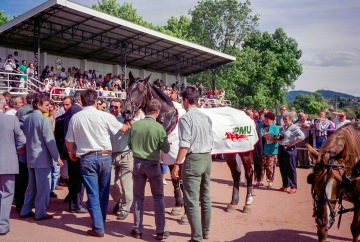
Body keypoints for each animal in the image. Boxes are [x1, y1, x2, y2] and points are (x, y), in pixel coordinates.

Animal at [122, 71, 255, 214]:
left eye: (141, 91)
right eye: (127, 89)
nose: (126, 112)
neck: (171, 119)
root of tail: (245, 113)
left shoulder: (180, 157)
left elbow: (181, 181)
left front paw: (185, 210)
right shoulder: (171, 156)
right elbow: (175, 180)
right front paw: (178, 205)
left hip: (245, 152)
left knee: (249, 173)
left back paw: (247, 204)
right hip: (230, 151)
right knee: (236, 173)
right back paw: (232, 203)